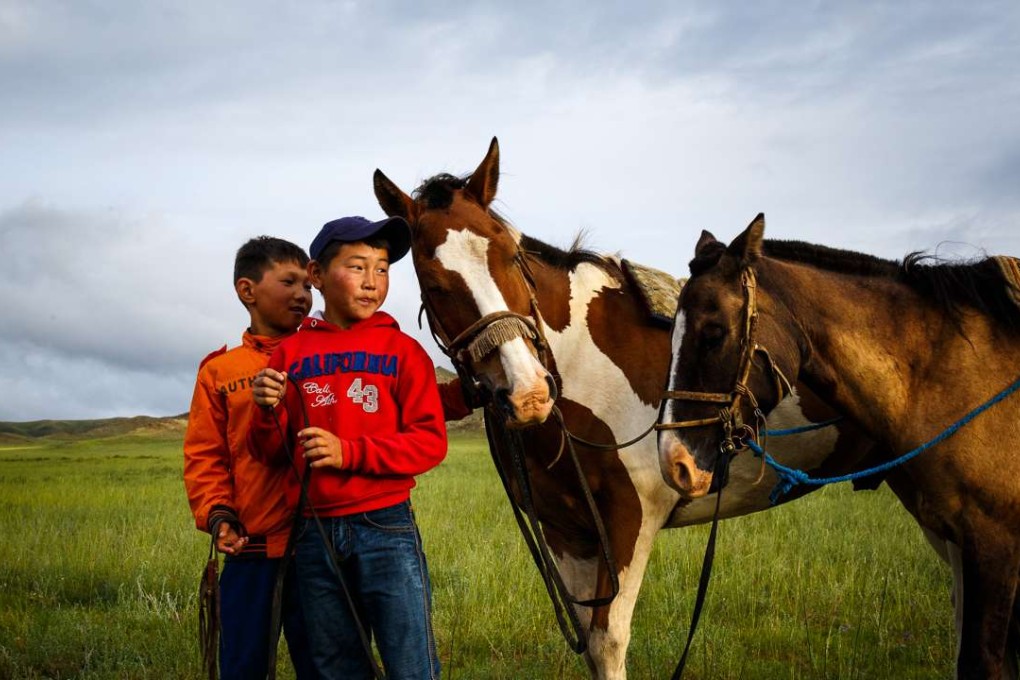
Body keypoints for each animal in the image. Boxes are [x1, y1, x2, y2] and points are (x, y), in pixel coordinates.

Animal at [372, 138, 875, 679]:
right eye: (434, 283)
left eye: (510, 254)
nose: (529, 394)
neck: (577, 363)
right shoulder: (566, 531)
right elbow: (589, 642)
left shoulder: (634, 513)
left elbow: (608, 641)